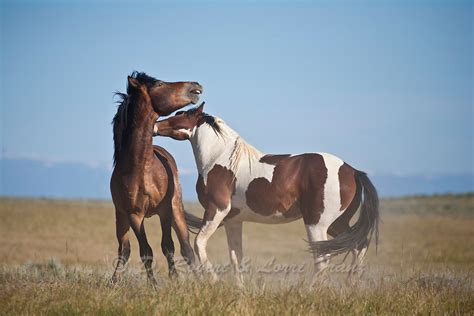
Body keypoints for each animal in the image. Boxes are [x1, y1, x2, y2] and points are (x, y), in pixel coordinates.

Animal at [110, 72, 202, 288]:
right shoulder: (134, 215)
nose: (195, 86)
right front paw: (154, 285)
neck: (140, 168)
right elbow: (145, 252)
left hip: (176, 210)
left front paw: (174, 279)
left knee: (186, 248)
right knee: (124, 249)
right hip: (121, 218)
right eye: (159, 84)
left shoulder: (165, 210)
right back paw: (113, 281)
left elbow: (168, 246)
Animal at [154, 104, 380, 286]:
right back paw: (351, 284)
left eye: (180, 115)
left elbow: (199, 243)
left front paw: (214, 281)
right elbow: (236, 256)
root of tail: (353, 171)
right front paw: (240, 290)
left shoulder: (216, 210)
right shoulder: (233, 220)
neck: (219, 160)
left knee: (323, 260)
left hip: (317, 224)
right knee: (359, 245)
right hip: (337, 223)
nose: (155, 126)